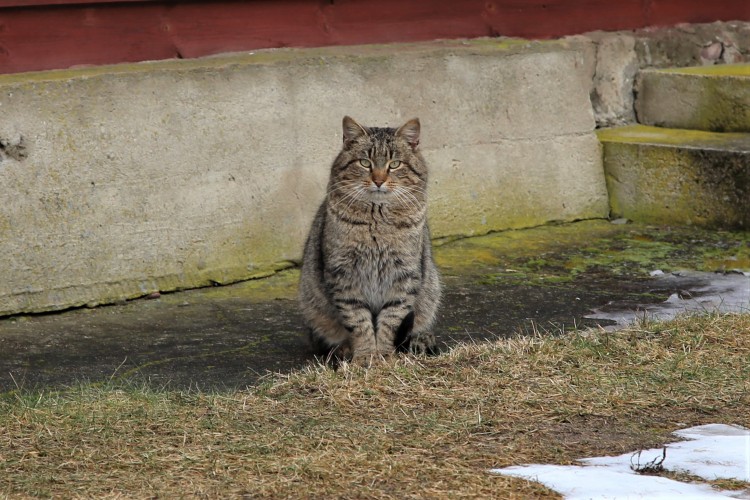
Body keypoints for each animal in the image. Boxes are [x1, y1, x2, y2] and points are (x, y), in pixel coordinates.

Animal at [298, 117, 440, 366]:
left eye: (394, 164)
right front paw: (365, 356)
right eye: (365, 162)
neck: (377, 219)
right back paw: (343, 350)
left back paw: (421, 339)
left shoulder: (404, 274)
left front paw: (383, 355)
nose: (379, 180)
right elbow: (358, 321)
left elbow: (391, 320)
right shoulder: (343, 275)